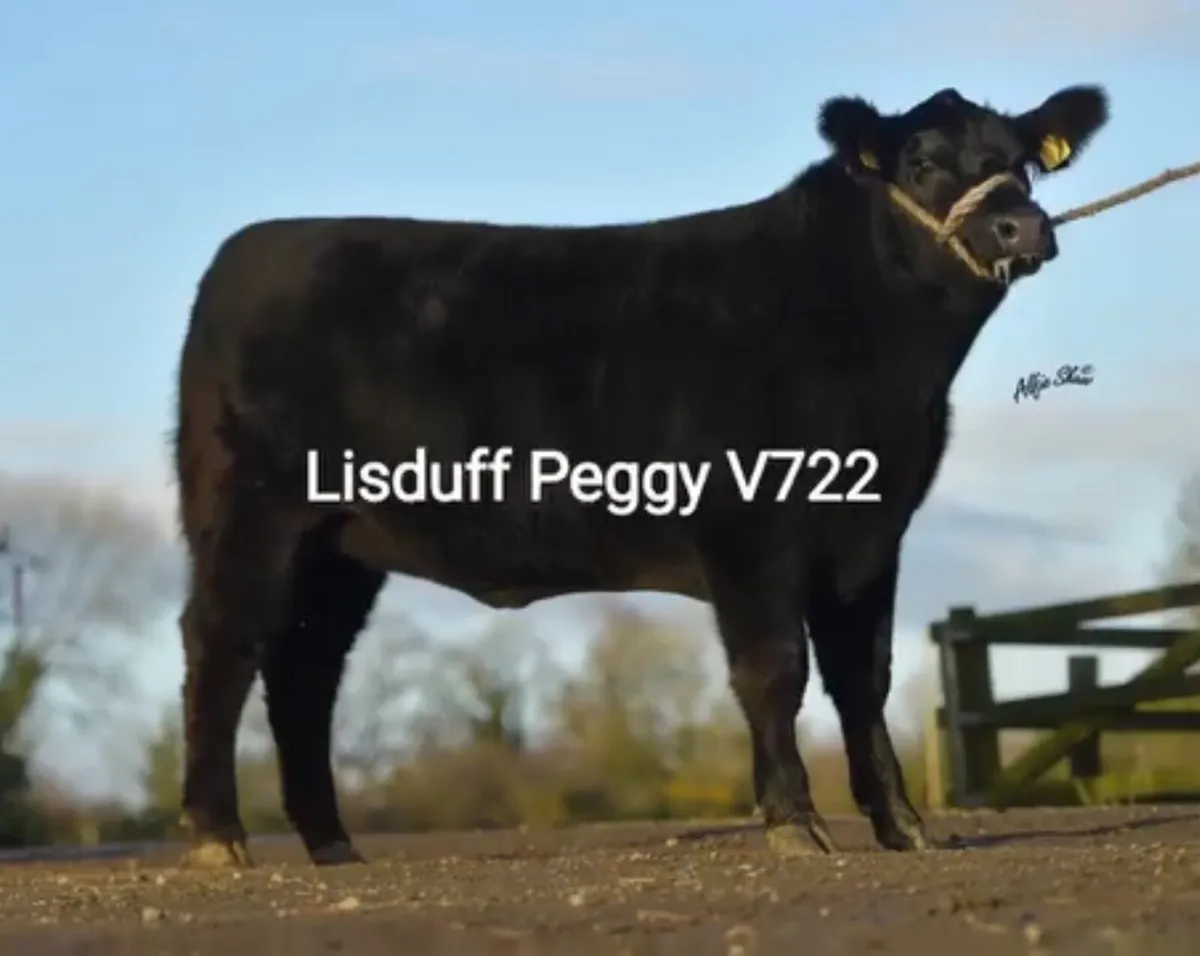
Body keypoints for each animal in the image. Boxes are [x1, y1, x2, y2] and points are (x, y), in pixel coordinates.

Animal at [172, 83, 1109, 868]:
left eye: (1023, 161)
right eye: (918, 161)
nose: (1020, 228)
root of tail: (250, 249)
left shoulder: (871, 534)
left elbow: (861, 677)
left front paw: (903, 825)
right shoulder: (749, 527)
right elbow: (775, 669)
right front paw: (795, 822)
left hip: (340, 547)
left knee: (304, 671)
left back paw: (330, 842)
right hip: (251, 512)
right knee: (223, 642)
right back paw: (218, 834)